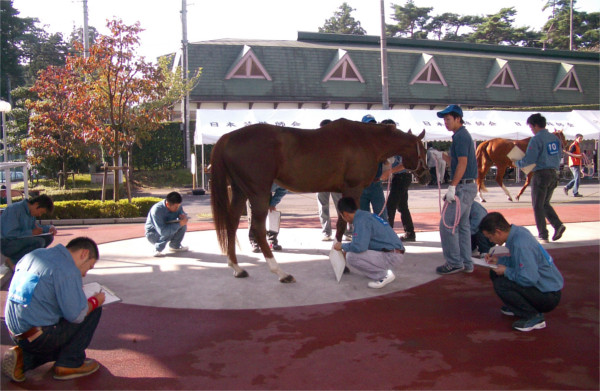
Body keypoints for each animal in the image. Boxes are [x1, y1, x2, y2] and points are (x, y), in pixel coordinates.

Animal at [209, 118, 428, 284]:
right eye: (423, 151)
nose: (426, 177)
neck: (366, 140)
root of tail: (228, 138)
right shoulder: (353, 189)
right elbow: (344, 224)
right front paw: (343, 263)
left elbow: (341, 224)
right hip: (259, 194)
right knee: (258, 229)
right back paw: (281, 272)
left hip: (240, 191)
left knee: (232, 222)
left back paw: (237, 267)